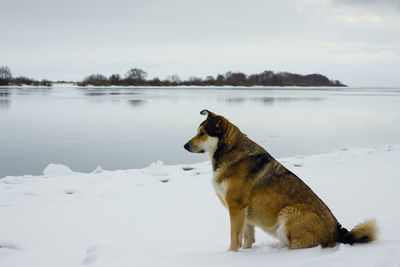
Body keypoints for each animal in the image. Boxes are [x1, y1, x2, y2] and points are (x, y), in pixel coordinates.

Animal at [184, 110, 378, 252]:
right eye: (197, 132)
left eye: (202, 133)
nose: (185, 146)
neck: (228, 151)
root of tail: (338, 234)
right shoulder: (244, 211)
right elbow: (247, 236)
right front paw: (245, 252)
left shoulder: (236, 206)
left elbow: (234, 236)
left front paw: (231, 254)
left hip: (287, 214)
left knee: (299, 246)